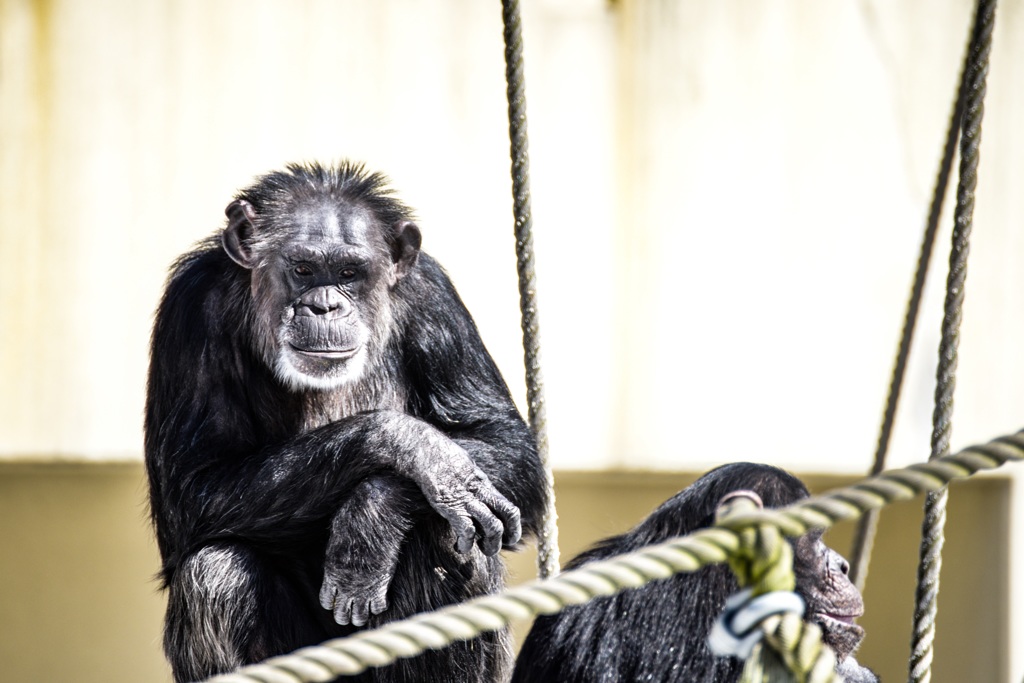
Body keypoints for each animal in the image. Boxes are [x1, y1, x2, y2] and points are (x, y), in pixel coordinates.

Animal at [143, 161, 548, 683]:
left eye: (349, 273)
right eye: (303, 269)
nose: (325, 305)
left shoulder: (433, 295)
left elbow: (505, 441)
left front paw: (372, 518)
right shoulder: (192, 308)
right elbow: (193, 485)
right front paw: (420, 450)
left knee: (445, 534)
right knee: (215, 576)